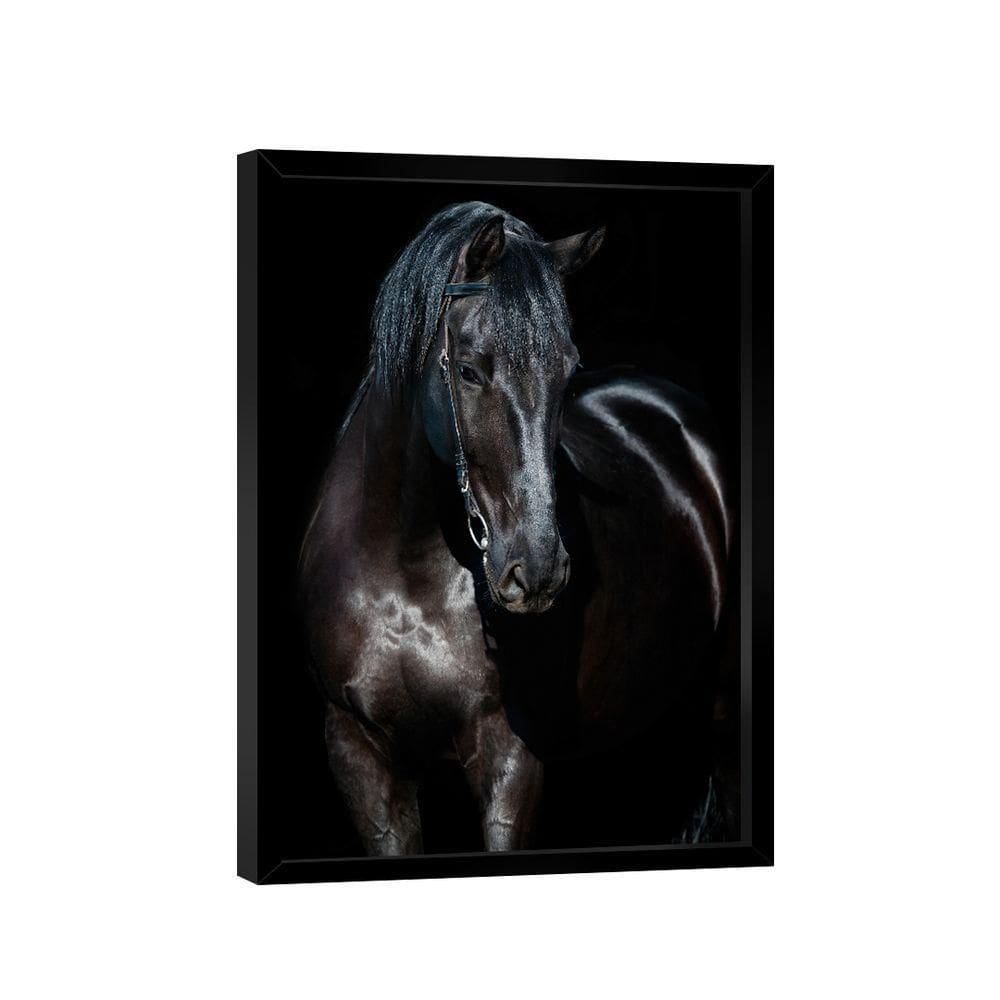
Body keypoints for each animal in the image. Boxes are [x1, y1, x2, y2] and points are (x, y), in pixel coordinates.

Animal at [298, 202, 733, 855]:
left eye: (567, 371)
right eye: (470, 370)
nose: (538, 570)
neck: (404, 572)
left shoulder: (510, 756)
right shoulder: (360, 755)